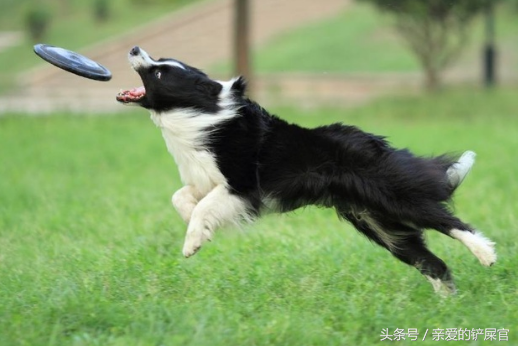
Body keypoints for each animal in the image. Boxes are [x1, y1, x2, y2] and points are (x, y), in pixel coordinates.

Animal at [116, 46, 498, 294]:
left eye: (160, 72)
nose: (134, 47)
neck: (199, 115)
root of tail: (376, 143)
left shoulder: (242, 187)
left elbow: (205, 207)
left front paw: (192, 242)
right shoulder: (206, 179)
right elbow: (181, 197)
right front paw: (194, 225)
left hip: (392, 197)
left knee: (448, 221)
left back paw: (486, 254)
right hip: (378, 223)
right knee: (431, 261)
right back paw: (446, 305)